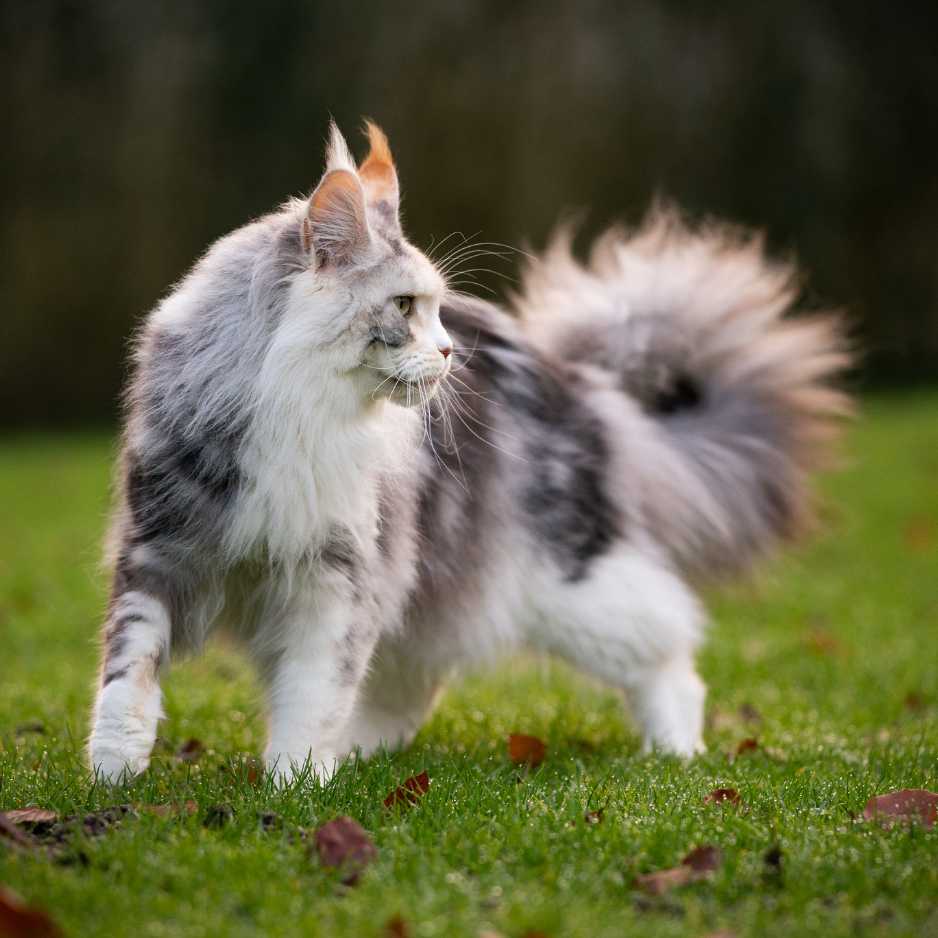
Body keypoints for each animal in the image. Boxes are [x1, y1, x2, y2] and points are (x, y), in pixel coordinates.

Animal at [88, 124, 848, 784]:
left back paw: (676, 754)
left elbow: (310, 692)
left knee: (670, 654)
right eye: (404, 306)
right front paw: (115, 775)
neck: (300, 413)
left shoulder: (335, 579)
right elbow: (129, 675)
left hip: (574, 586)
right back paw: (361, 756)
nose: (451, 350)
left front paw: (294, 784)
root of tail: (581, 384)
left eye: (435, 309)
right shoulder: (160, 552)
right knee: (408, 685)